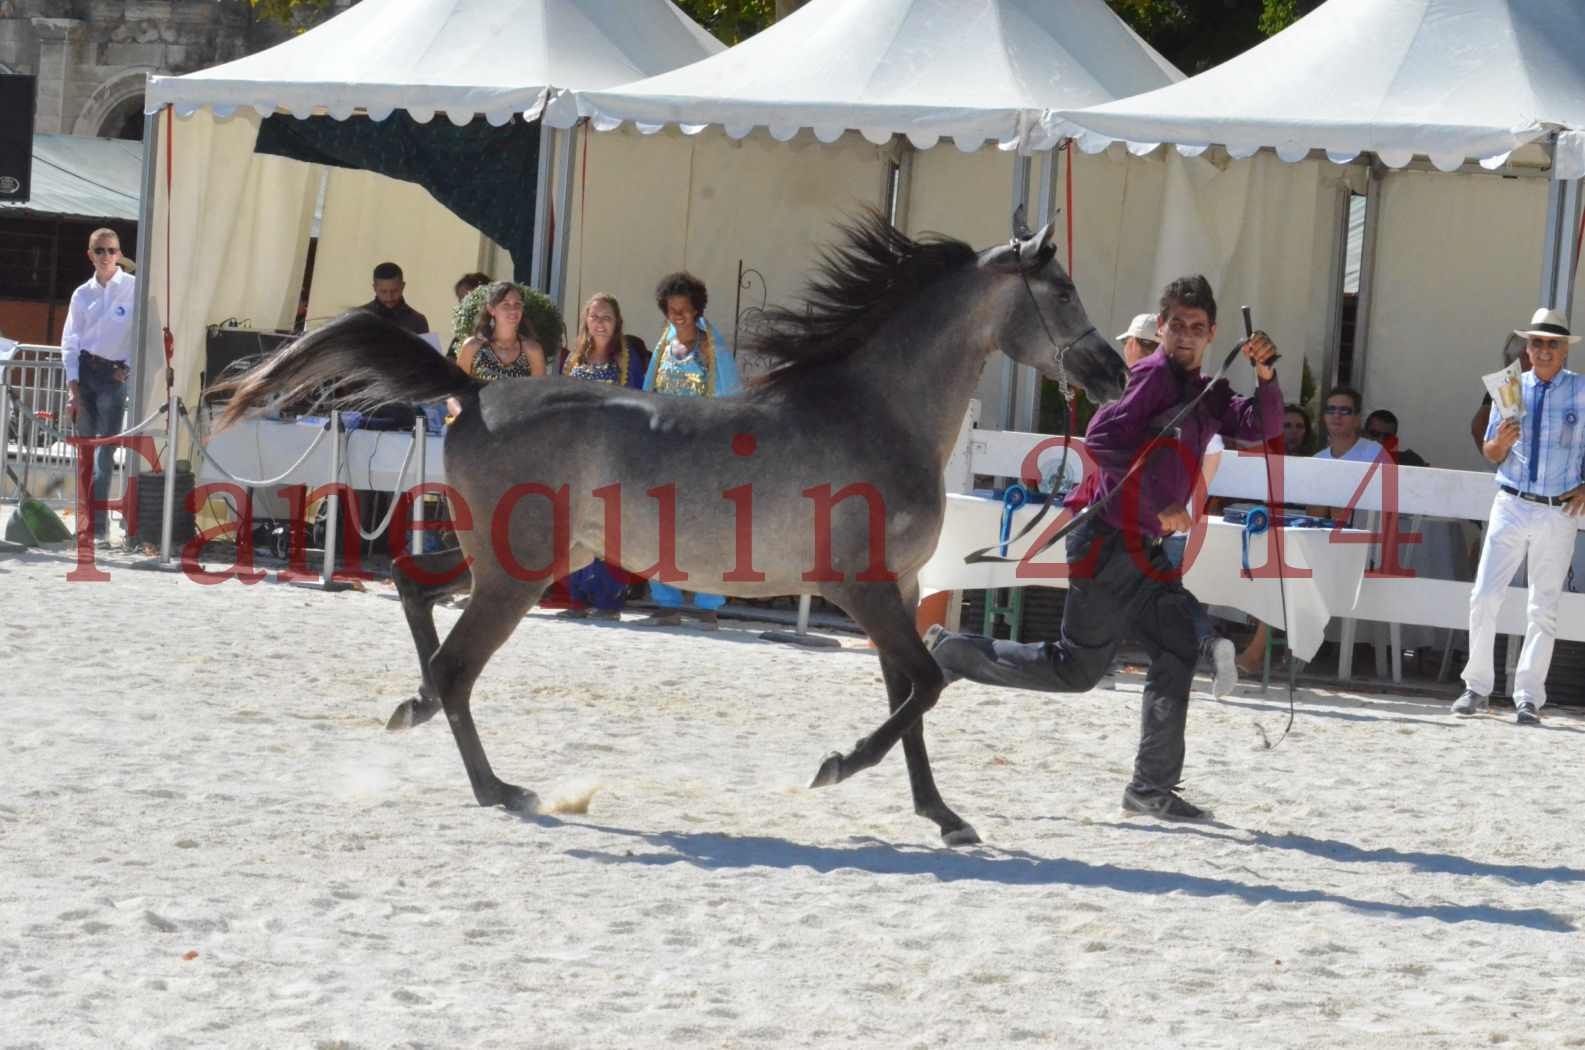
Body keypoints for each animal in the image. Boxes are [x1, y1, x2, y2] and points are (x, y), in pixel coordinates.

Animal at [217, 215, 1128, 850]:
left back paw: (428, 724)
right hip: (516, 573)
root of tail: (471, 392)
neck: (874, 410)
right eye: (1062, 291)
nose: (1113, 371)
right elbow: (928, 686)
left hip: (515, 560)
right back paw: (497, 785)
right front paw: (836, 768)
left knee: (413, 588)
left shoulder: (898, 591)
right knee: (455, 667)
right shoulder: (861, 589)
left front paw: (943, 816)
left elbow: (912, 697)